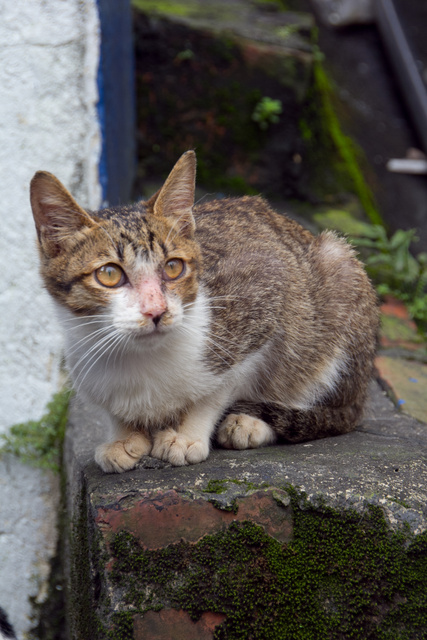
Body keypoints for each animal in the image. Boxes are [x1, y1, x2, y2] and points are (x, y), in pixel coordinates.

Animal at [30, 149, 380, 470]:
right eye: (109, 274)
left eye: (173, 267)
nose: (156, 311)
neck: (139, 360)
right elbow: (113, 409)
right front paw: (123, 436)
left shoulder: (268, 292)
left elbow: (222, 387)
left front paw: (188, 434)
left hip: (339, 274)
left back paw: (252, 423)